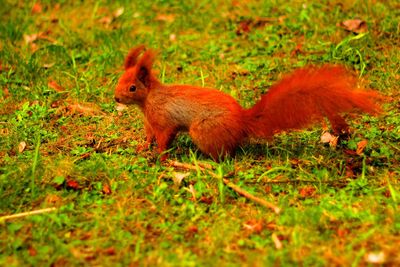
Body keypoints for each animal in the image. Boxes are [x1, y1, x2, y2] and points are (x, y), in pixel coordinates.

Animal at [113, 45, 382, 161]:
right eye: (119, 80)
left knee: (225, 156)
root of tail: (242, 121)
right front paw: (142, 147)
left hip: (203, 131)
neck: (149, 99)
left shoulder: (163, 121)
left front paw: (160, 156)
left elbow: (164, 139)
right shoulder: (150, 123)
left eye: (132, 87)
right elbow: (149, 136)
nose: (116, 98)